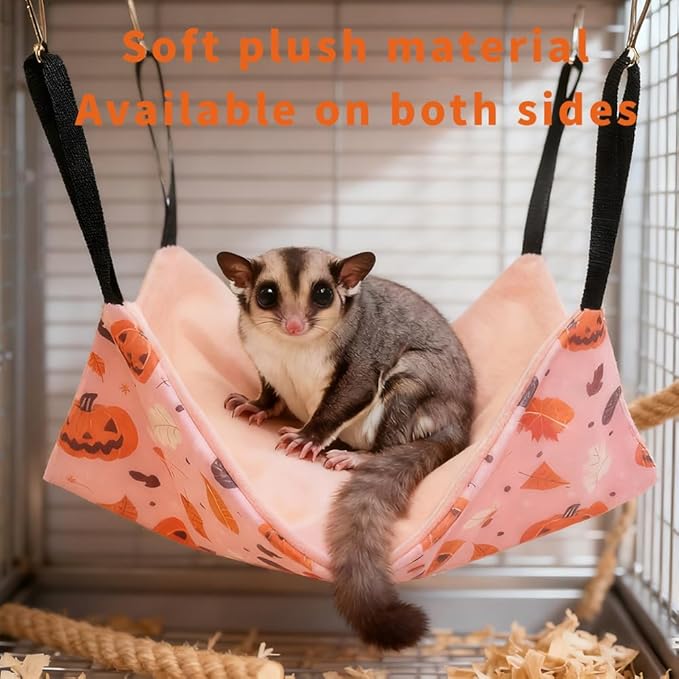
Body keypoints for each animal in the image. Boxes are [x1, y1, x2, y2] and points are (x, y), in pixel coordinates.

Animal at [217, 247, 475, 650]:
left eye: (323, 294)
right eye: (267, 295)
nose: (294, 325)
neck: (293, 346)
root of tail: (460, 423)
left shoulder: (362, 354)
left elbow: (354, 389)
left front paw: (307, 437)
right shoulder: (258, 352)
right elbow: (269, 387)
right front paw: (256, 406)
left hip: (418, 386)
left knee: (404, 387)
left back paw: (357, 456)